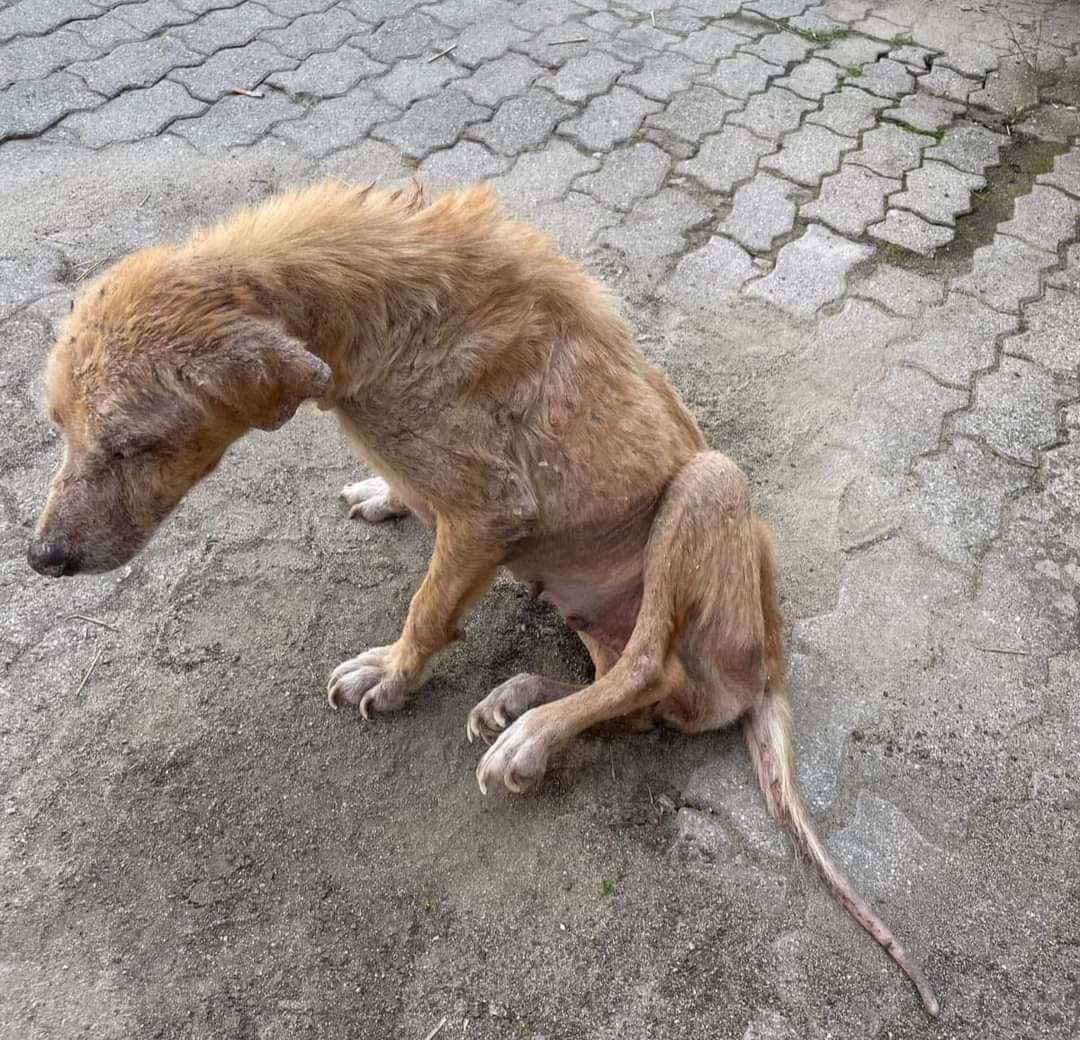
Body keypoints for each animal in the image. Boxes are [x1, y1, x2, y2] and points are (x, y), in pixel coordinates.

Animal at [25, 181, 937, 1015]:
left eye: (134, 443)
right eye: (58, 426)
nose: (42, 559)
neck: (371, 312)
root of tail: (771, 663)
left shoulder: (486, 517)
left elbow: (427, 612)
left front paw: (392, 677)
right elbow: (407, 501)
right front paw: (386, 496)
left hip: (713, 481)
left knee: (650, 668)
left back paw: (530, 735)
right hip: (592, 604)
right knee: (644, 703)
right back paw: (524, 695)